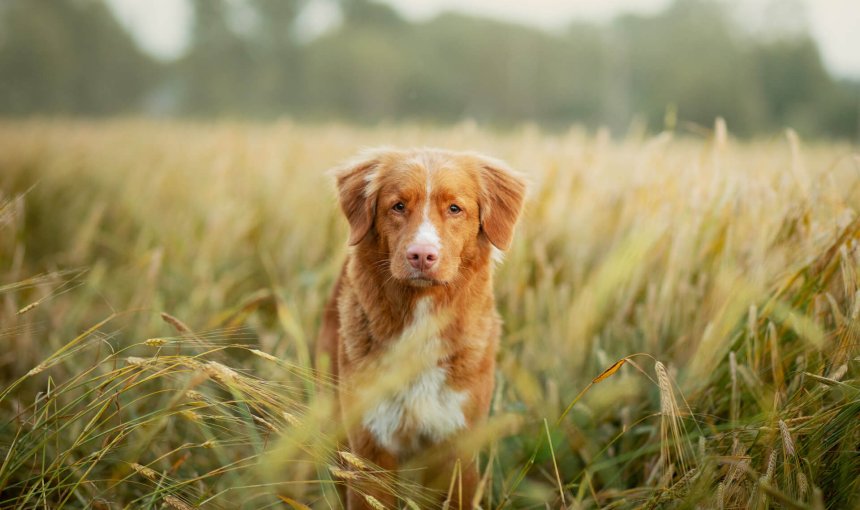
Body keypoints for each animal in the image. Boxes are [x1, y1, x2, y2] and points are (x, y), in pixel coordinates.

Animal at [320, 145, 528, 508]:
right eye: (398, 206)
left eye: (455, 208)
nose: (421, 255)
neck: (421, 317)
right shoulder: (370, 446)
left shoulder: (456, 446)